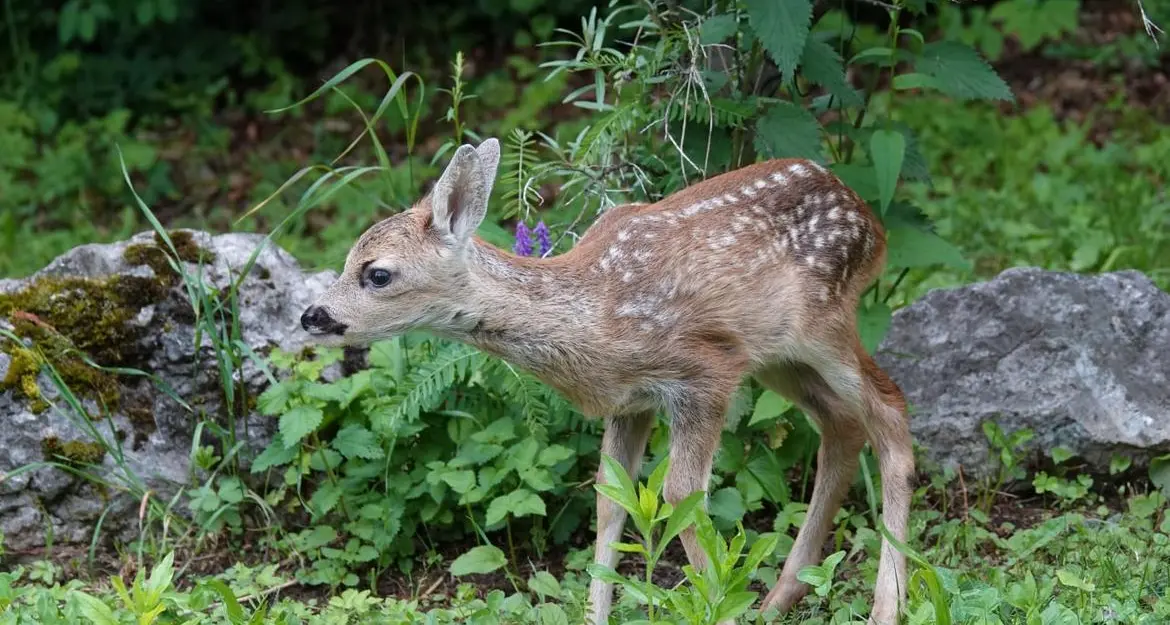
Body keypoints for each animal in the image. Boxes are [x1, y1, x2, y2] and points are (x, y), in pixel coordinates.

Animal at [300, 137, 914, 625]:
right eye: (348, 259)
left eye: (378, 274)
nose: (312, 316)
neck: (594, 315)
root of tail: (873, 221)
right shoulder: (630, 400)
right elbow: (609, 499)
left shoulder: (707, 371)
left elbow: (680, 493)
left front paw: (719, 606)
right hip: (777, 357)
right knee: (842, 424)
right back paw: (781, 598)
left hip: (824, 324)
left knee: (890, 409)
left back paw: (885, 607)